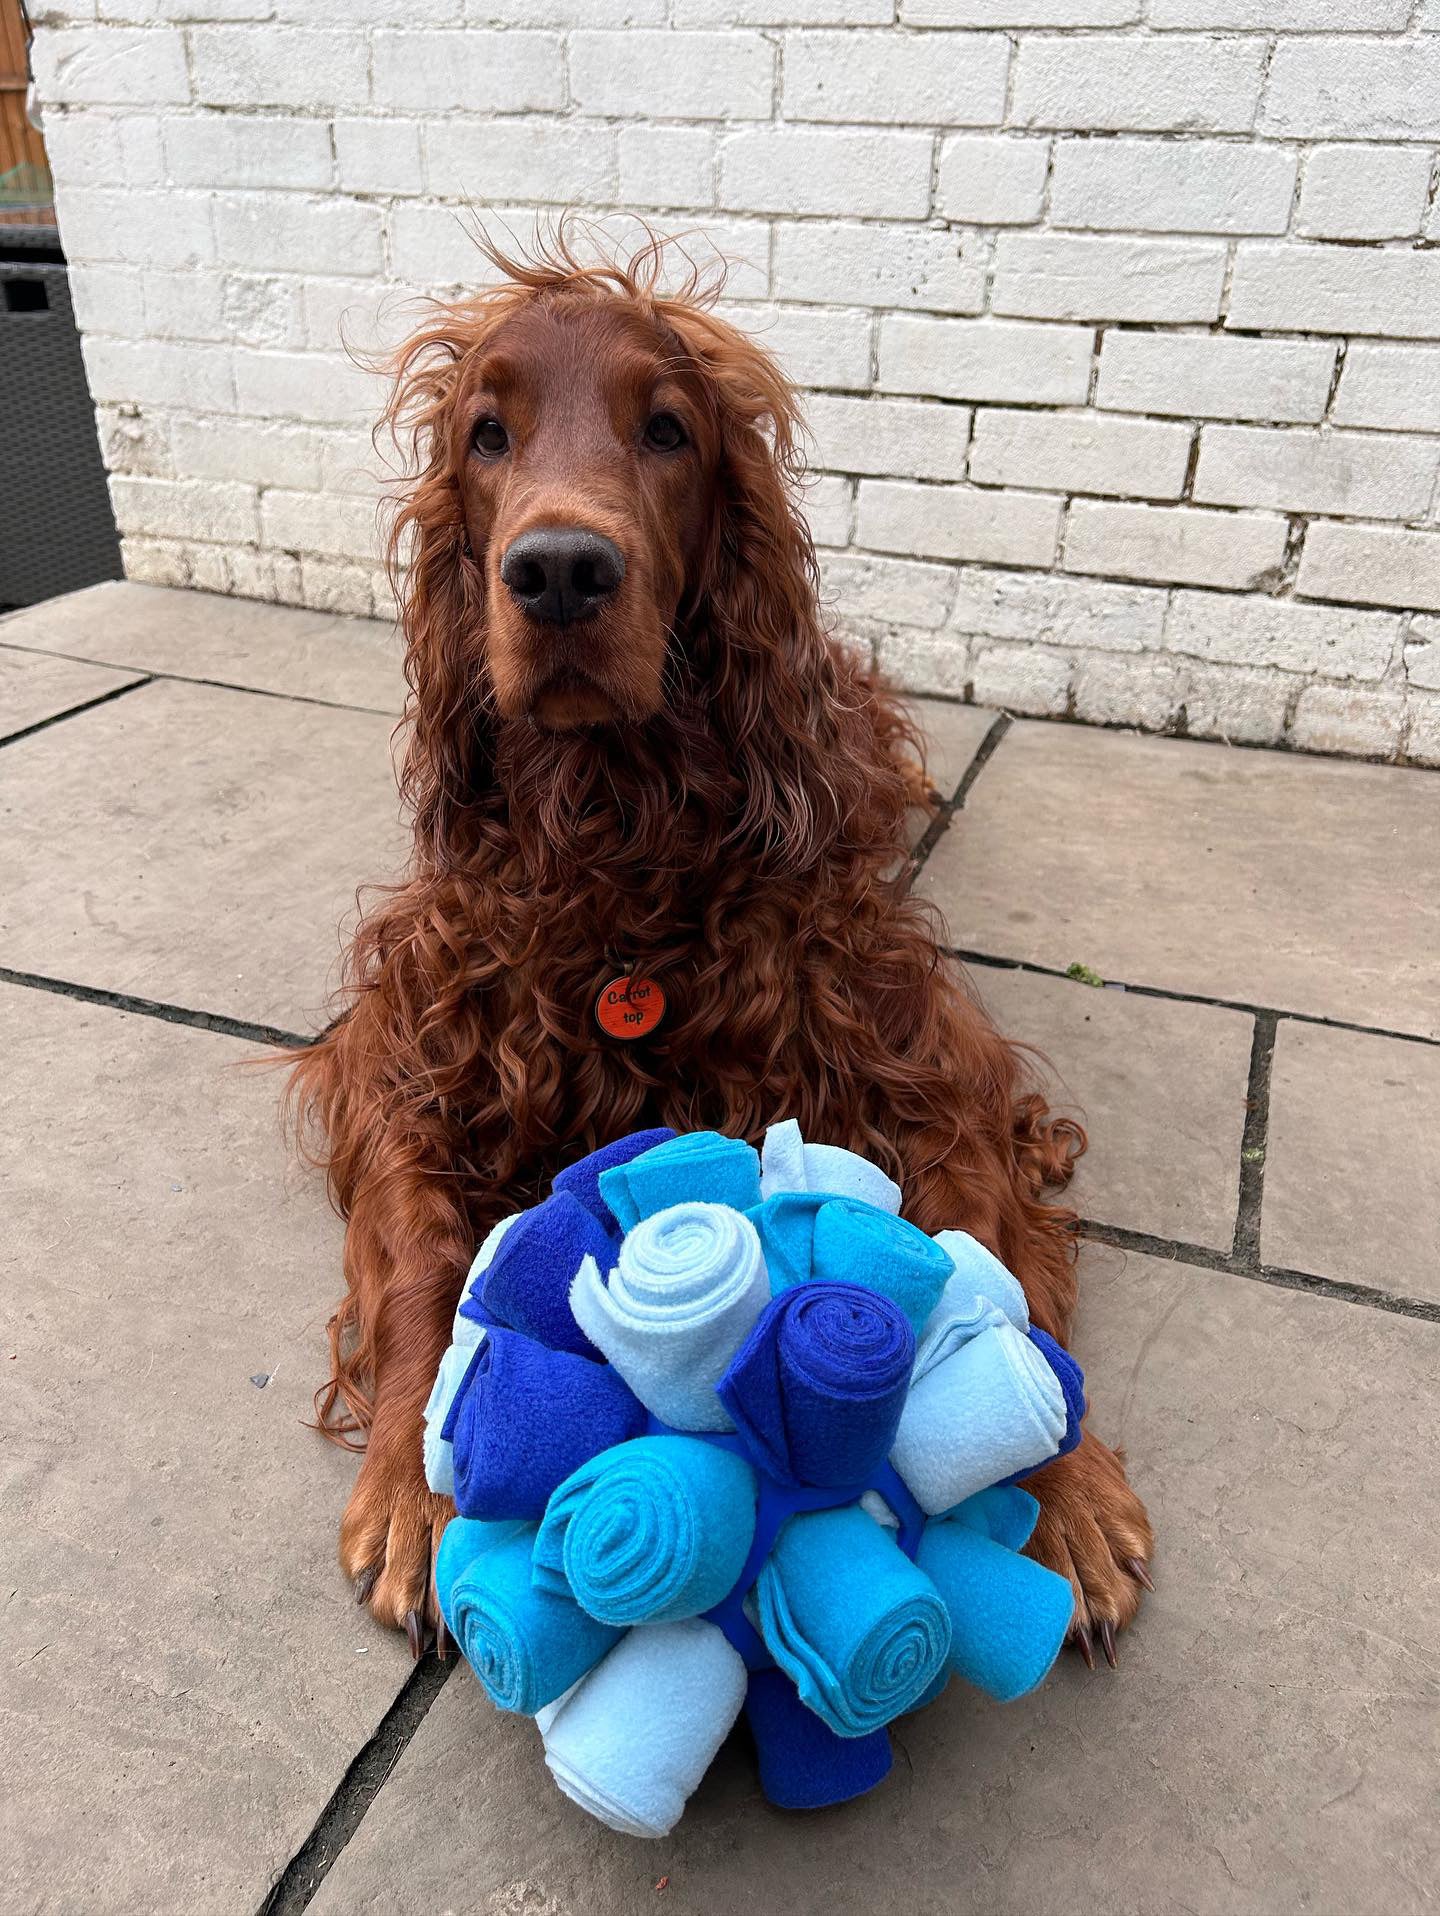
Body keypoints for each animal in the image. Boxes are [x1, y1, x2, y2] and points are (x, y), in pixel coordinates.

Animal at [287, 235, 1156, 1678]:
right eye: (486, 434)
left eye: (667, 429)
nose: (560, 573)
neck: (620, 834)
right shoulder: (396, 1049)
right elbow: (417, 1252)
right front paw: (415, 1475)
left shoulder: (933, 1067)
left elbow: (988, 1262)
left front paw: (1058, 1485)